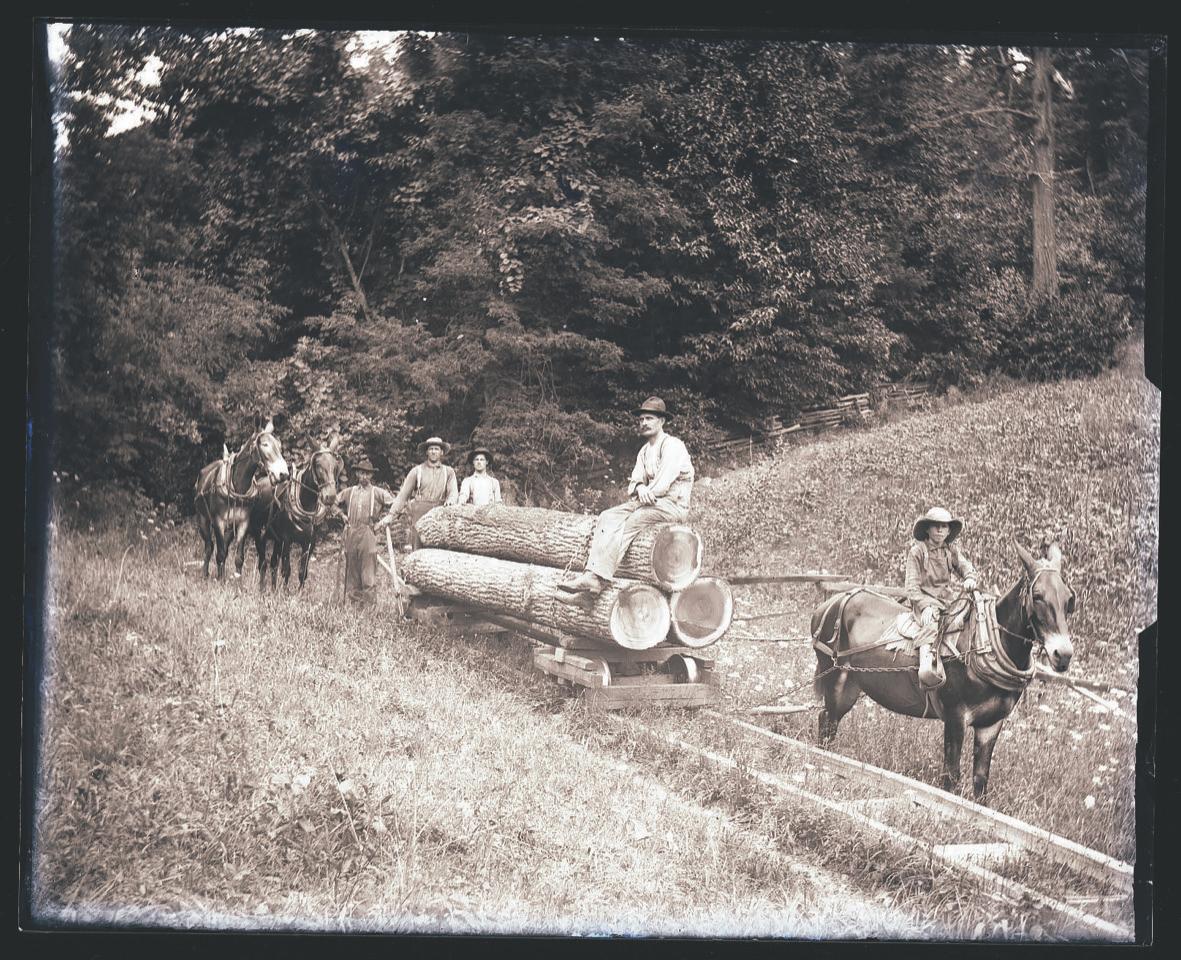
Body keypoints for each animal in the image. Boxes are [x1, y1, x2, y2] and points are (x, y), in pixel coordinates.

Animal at [192, 418, 289, 576]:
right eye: (264, 444)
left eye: (279, 445)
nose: (284, 474)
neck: (238, 488)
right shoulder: (218, 522)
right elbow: (219, 554)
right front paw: (221, 579)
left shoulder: (243, 523)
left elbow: (238, 558)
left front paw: (236, 579)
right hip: (203, 521)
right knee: (209, 547)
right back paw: (205, 574)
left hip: (230, 529)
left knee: (223, 548)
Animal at [257, 436, 342, 588]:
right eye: (318, 465)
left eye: (335, 466)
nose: (330, 496)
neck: (306, 505)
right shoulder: (286, 541)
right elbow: (286, 570)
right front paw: (285, 592)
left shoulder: (309, 543)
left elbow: (302, 572)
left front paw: (299, 592)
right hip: (261, 535)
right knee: (262, 564)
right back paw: (262, 588)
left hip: (276, 540)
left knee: (273, 564)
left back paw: (273, 589)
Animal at [812, 538, 1072, 802]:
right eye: (1037, 596)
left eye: (1069, 599)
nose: (1063, 654)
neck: (982, 644)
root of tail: (831, 602)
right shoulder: (955, 716)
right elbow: (951, 776)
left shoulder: (991, 724)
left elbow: (981, 781)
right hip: (833, 677)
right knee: (827, 724)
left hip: (851, 687)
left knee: (828, 721)